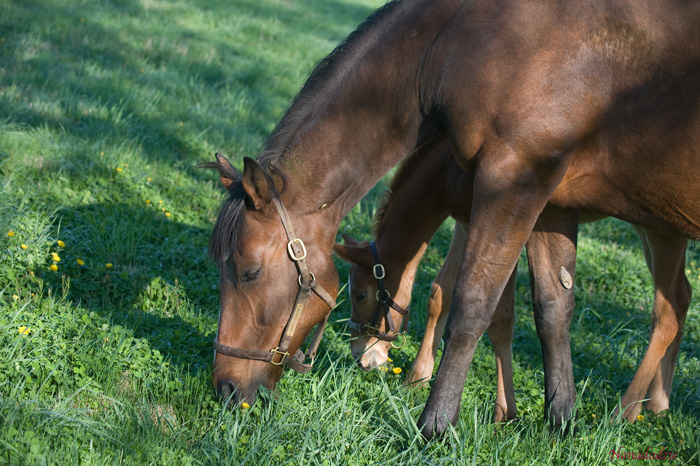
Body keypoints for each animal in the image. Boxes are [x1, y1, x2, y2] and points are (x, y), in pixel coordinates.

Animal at [333, 137, 689, 425]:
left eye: (360, 294)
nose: (360, 357)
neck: (448, 167)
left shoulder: (508, 232)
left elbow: (499, 315)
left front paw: (500, 408)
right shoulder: (466, 223)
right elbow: (439, 294)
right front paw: (418, 377)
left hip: (663, 231)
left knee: (668, 309)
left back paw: (625, 411)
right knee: (682, 296)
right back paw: (658, 402)